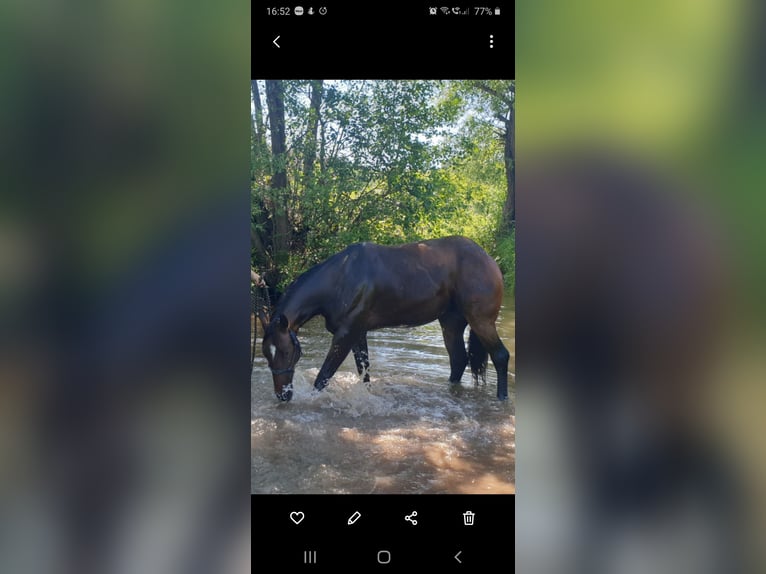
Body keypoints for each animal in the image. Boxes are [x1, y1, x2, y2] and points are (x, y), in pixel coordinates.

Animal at [258, 235, 510, 402]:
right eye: (266, 354)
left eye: (287, 352)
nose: (282, 395)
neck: (341, 279)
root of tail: (489, 259)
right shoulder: (357, 333)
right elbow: (364, 371)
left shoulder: (345, 335)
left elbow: (323, 378)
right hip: (451, 323)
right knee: (458, 359)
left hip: (481, 320)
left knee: (500, 356)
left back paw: (502, 398)